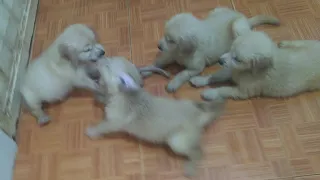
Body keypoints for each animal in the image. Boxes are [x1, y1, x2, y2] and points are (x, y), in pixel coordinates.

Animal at [85, 57, 225, 177]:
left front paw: (92, 131)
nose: (97, 60)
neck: (122, 94)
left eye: (107, 66)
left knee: (198, 153)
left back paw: (190, 168)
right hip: (188, 106)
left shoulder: (114, 122)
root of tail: (200, 116)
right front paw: (99, 96)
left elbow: (102, 126)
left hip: (177, 141)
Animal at [142, 6, 280, 93]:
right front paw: (147, 70)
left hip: (237, 26)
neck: (181, 51)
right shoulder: (170, 54)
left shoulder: (196, 68)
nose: (159, 46)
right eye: (164, 35)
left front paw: (173, 83)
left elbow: (183, 73)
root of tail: (245, 18)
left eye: (171, 40)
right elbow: (159, 62)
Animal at [189, 17, 320, 100]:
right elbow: (216, 75)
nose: (220, 61)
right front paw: (200, 80)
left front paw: (210, 93)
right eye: (230, 49)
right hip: (309, 43)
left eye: (238, 59)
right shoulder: (232, 71)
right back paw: (285, 44)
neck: (247, 71)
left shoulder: (243, 92)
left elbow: (224, 89)